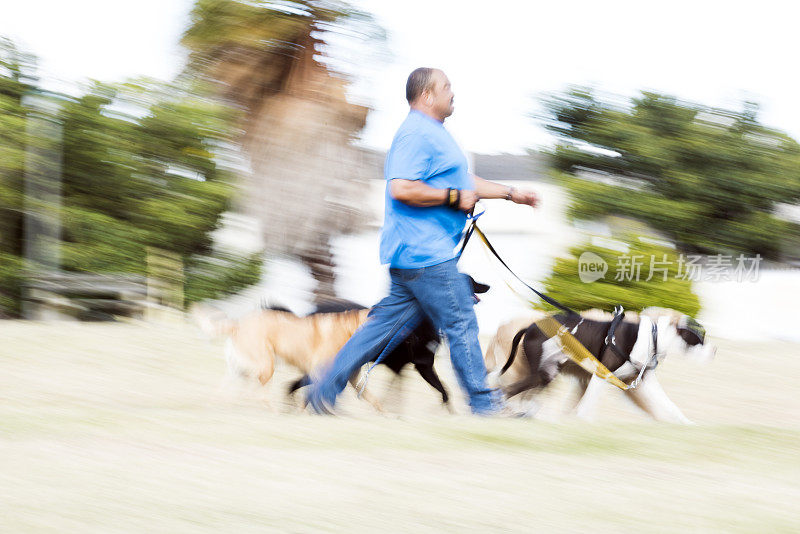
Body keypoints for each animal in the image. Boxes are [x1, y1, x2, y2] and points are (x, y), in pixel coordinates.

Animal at [191, 304, 384, 412]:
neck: (351, 331)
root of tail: (237, 324)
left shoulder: (352, 377)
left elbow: (372, 398)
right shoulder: (321, 372)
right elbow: (315, 396)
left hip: (240, 369)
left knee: (228, 391)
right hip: (266, 364)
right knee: (259, 394)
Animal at [496, 308, 716, 426]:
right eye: (701, 337)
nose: (715, 350)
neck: (653, 338)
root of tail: (531, 326)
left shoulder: (644, 382)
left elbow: (669, 404)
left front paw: (686, 423)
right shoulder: (601, 375)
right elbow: (588, 405)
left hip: (547, 373)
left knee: (524, 394)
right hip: (540, 372)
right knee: (510, 389)